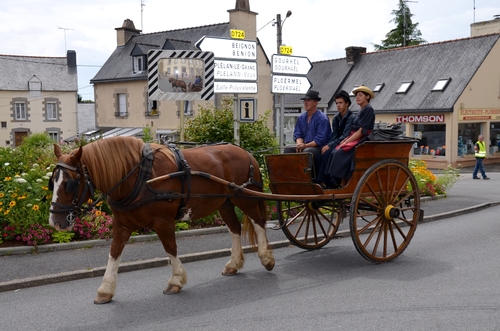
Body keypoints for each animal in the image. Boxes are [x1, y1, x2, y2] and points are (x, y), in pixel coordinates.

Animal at [48, 136, 276, 304]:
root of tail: (246, 152)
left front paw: (176, 281)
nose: (55, 222)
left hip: (244, 198)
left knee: (258, 223)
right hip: (225, 203)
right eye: (53, 182)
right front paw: (105, 290)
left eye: (69, 184)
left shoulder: (163, 222)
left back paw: (266, 258)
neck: (140, 176)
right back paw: (234, 264)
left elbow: (170, 248)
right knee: (234, 228)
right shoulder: (122, 224)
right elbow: (114, 253)